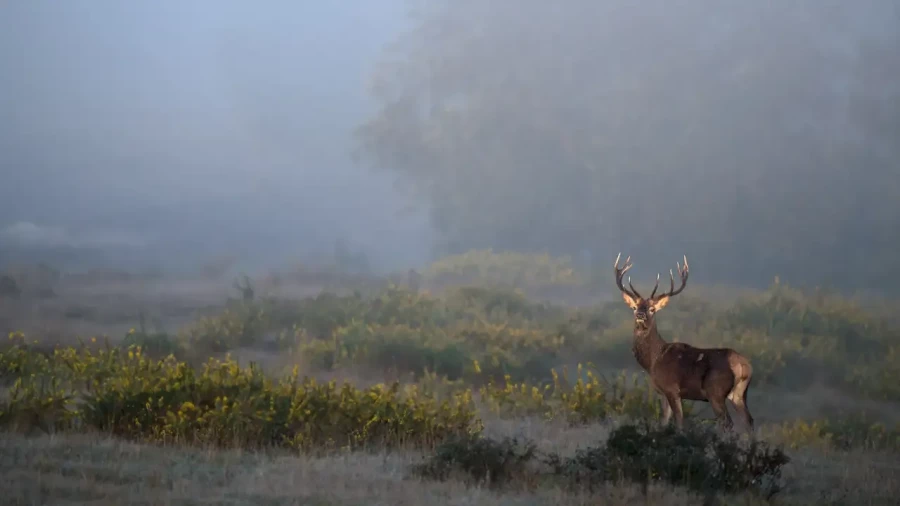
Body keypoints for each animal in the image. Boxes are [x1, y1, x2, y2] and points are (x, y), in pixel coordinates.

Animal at [613, 253, 754, 432]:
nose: (640, 315)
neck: (653, 361)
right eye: (634, 307)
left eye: (652, 309)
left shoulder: (672, 388)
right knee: (749, 420)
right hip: (739, 394)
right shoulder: (662, 393)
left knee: (727, 423)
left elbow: (680, 423)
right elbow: (664, 421)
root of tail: (744, 366)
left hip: (715, 391)